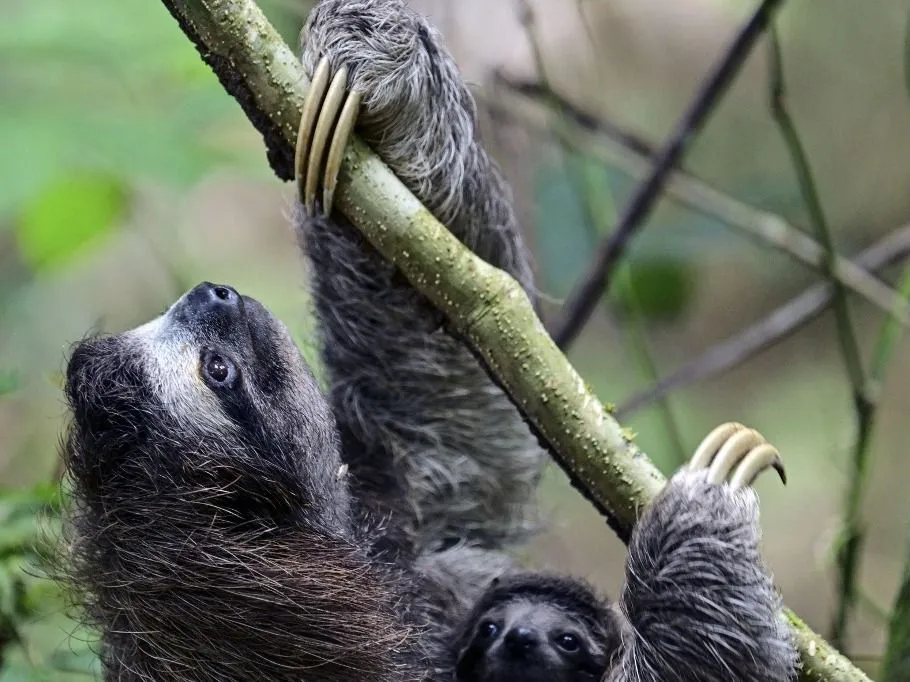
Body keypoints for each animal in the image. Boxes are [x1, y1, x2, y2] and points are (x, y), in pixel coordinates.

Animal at [54, 0, 798, 680]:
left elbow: (451, 419)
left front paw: (376, 71)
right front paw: (700, 518)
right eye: (219, 371)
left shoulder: (403, 532)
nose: (211, 293)